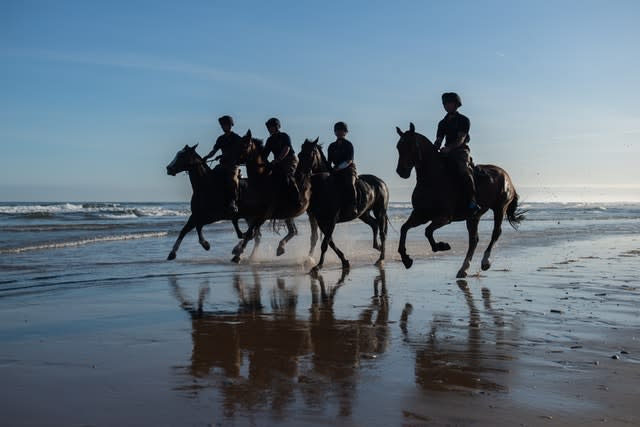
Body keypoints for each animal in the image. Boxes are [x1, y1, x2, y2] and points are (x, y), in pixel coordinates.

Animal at [164, 145, 296, 260]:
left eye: (182, 156)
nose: (168, 169)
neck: (206, 185)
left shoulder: (213, 216)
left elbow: (198, 226)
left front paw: (205, 244)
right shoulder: (196, 214)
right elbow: (185, 230)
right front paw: (172, 253)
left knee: (259, 234)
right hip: (252, 217)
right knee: (258, 236)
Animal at [296, 140, 390, 274]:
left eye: (309, 154)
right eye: (299, 154)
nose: (298, 176)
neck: (325, 185)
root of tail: (381, 182)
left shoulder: (332, 220)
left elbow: (325, 243)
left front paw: (318, 266)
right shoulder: (321, 221)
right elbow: (330, 242)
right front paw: (344, 261)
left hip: (380, 211)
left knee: (382, 233)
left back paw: (381, 258)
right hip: (364, 214)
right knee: (374, 224)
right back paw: (377, 247)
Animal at [396, 123, 524, 278]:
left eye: (411, 146)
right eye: (398, 147)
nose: (401, 172)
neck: (432, 178)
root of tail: (506, 176)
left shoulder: (444, 217)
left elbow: (427, 231)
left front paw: (441, 246)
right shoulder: (421, 215)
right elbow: (404, 228)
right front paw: (406, 259)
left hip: (499, 208)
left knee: (495, 233)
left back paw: (485, 262)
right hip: (474, 217)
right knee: (473, 240)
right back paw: (463, 268)